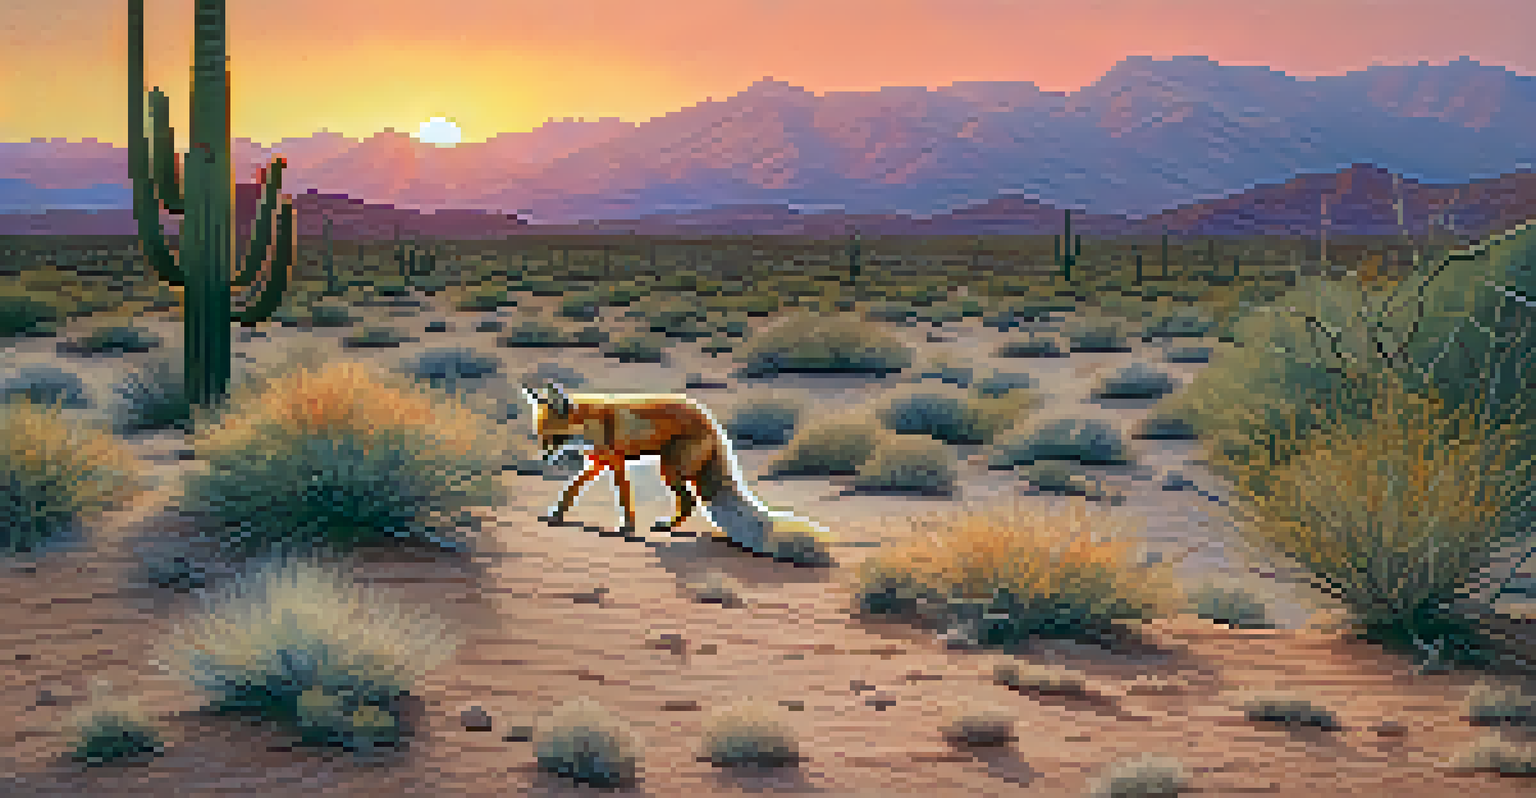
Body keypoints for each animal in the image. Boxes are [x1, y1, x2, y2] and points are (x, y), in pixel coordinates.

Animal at [519, 381, 830, 560]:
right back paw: (668, 526)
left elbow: (625, 498)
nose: (543, 458)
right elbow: (572, 488)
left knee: (690, 500)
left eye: (554, 438)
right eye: (541, 438)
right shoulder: (598, 463)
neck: (592, 424)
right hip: (674, 470)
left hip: (669, 469)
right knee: (689, 501)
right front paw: (556, 515)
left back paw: (667, 526)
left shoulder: (617, 462)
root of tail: (711, 421)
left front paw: (628, 529)